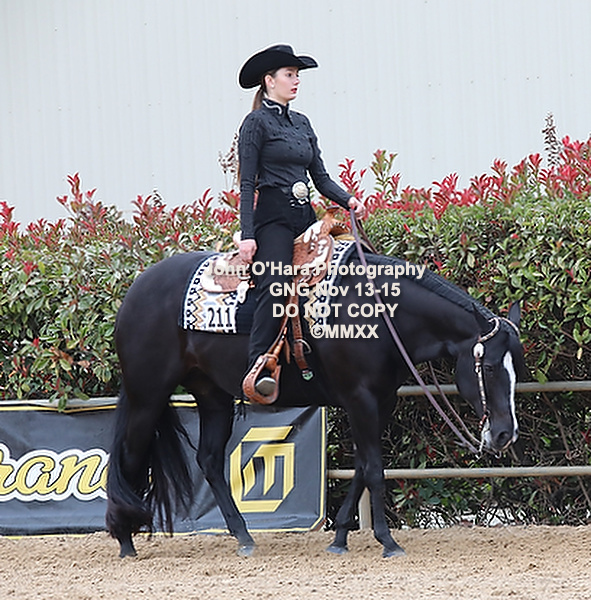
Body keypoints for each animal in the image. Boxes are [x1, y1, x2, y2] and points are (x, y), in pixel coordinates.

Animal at [106, 248, 525, 559]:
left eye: (516, 366)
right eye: (489, 367)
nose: (505, 434)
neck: (377, 312)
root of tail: (137, 287)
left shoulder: (381, 400)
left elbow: (362, 468)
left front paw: (339, 538)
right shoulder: (360, 399)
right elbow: (375, 470)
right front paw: (387, 541)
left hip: (213, 396)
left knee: (208, 460)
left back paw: (244, 537)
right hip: (147, 394)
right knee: (129, 454)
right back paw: (124, 538)